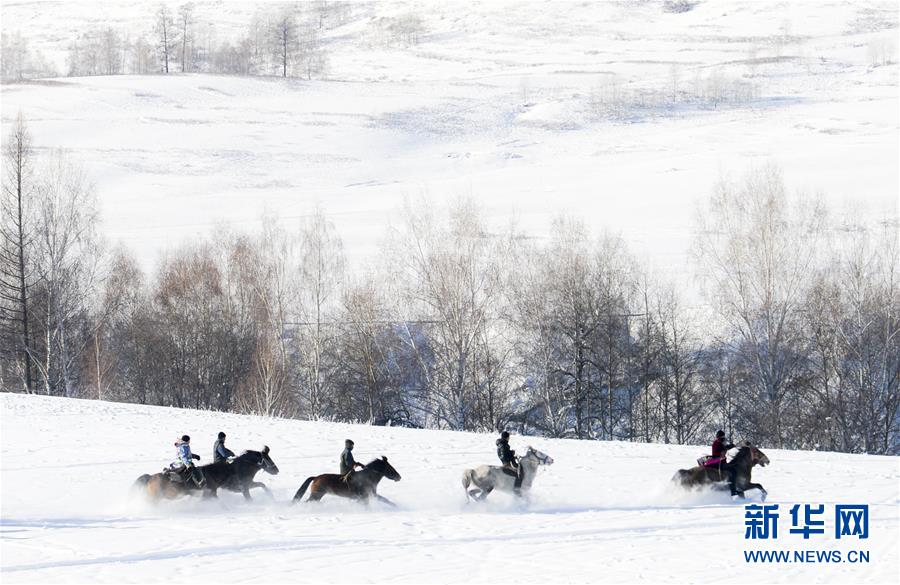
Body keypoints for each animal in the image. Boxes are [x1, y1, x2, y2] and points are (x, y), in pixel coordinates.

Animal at [133, 444, 278, 500]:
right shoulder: (242, 488)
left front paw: (270, 496)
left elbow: (262, 485)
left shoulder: (247, 485)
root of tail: (150, 477)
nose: (276, 470)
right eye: (268, 458)